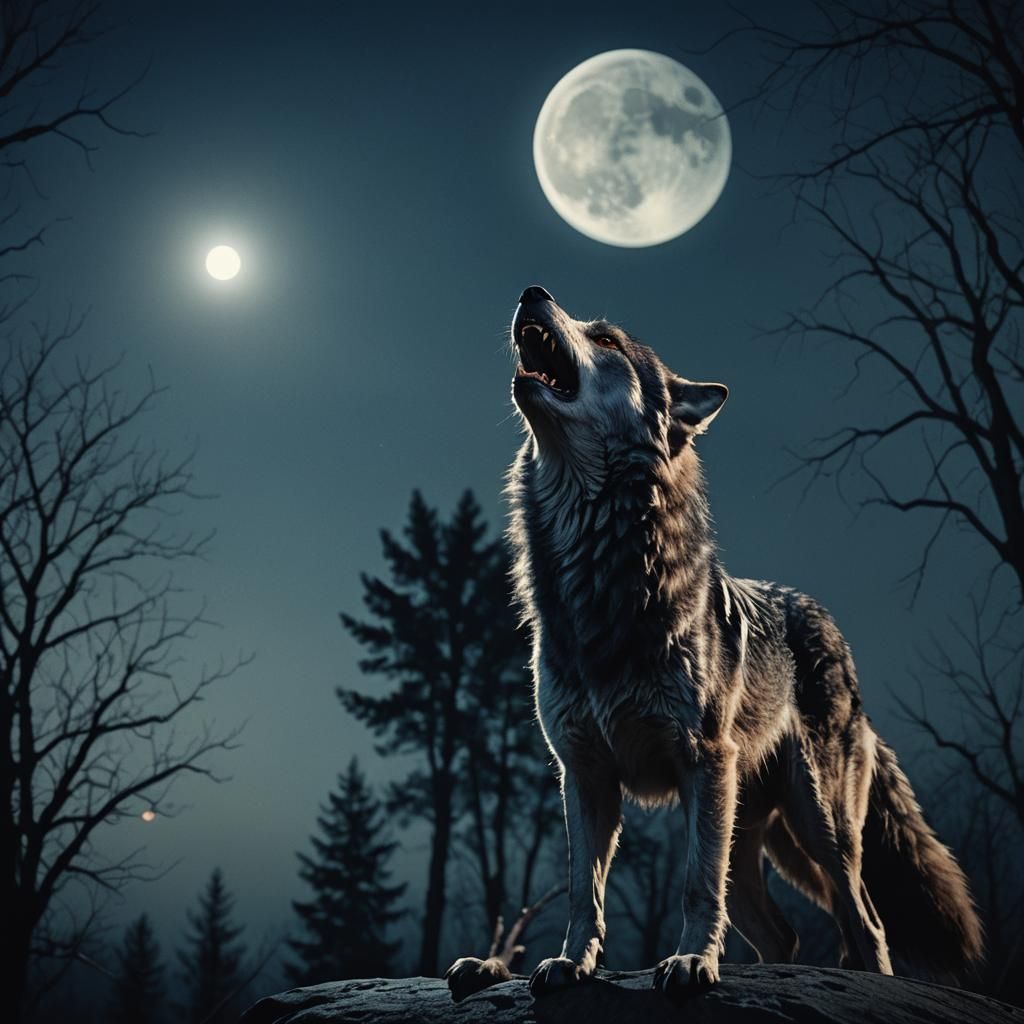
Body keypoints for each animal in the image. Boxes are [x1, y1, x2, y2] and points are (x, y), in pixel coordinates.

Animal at [444, 286, 982, 1004]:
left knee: (864, 921)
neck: (599, 577)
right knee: (783, 934)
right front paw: (570, 964)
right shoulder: (583, 772)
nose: (534, 292)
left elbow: (694, 887)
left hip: (818, 824)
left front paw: (691, 963)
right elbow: (586, 892)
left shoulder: (701, 761)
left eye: (607, 339)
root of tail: (834, 632)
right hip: (753, 832)